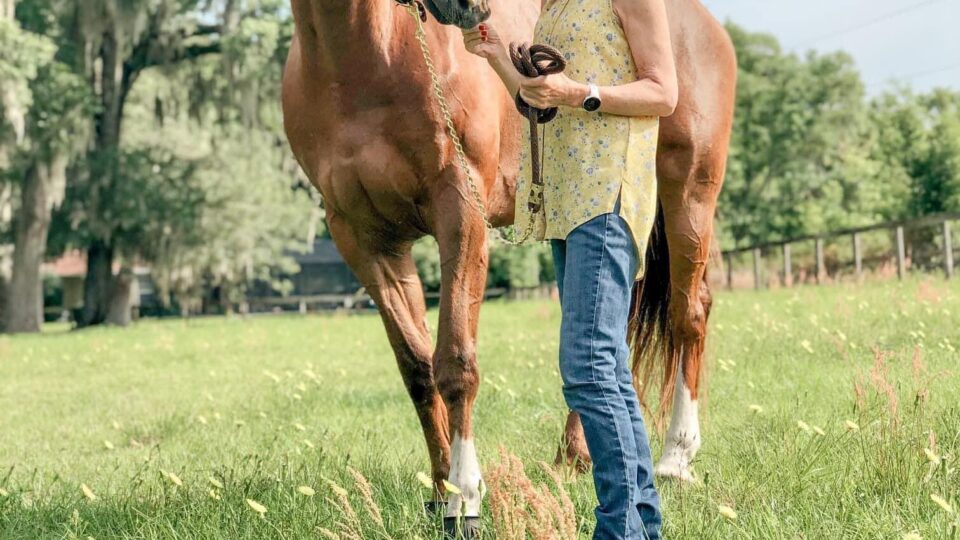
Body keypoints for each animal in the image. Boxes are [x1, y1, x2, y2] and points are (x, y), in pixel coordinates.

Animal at [282, 0, 736, 533]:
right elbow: (417, 369)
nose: (470, 9)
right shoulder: (363, 241)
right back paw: (573, 458)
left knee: (689, 314)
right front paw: (439, 492)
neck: (364, 58)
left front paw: (464, 499)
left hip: (689, 191)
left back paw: (675, 459)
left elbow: (455, 362)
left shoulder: (461, 211)